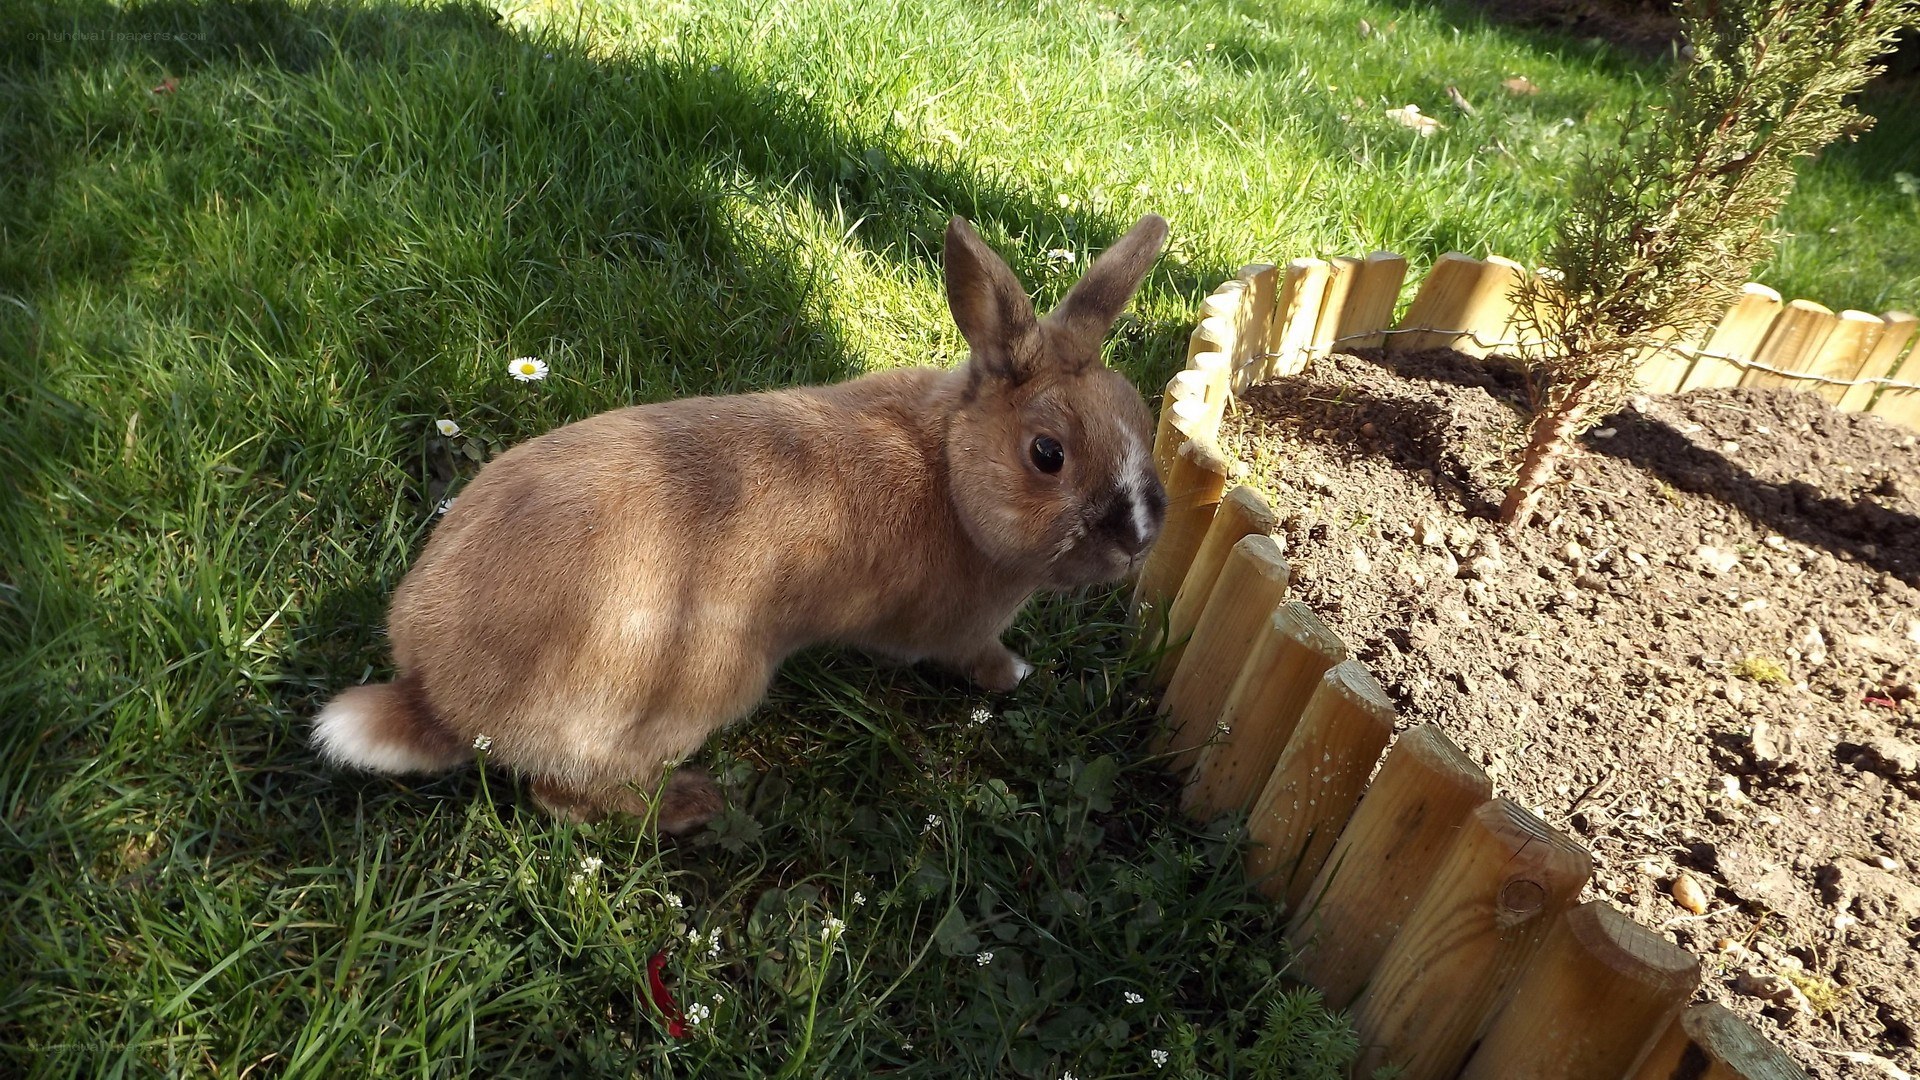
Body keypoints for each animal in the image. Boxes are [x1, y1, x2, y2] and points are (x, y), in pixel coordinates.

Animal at [311, 213, 1170, 833]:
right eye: (1048, 454)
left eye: (1139, 413)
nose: (1140, 540)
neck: (952, 471)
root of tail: (434, 697)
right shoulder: (959, 631)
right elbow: (976, 658)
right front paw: (1016, 674)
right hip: (704, 686)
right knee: (565, 797)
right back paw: (695, 806)